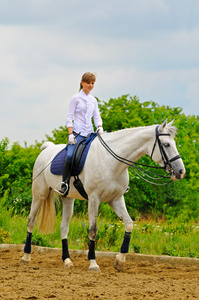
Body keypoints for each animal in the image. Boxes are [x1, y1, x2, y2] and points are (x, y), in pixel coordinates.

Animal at [21, 120, 185, 270]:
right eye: (166, 145)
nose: (180, 171)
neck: (112, 161)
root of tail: (46, 149)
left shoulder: (116, 199)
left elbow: (129, 224)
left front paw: (120, 260)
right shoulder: (94, 199)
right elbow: (93, 230)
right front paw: (93, 263)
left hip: (68, 198)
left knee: (64, 227)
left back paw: (67, 260)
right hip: (39, 194)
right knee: (31, 221)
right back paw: (26, 257)